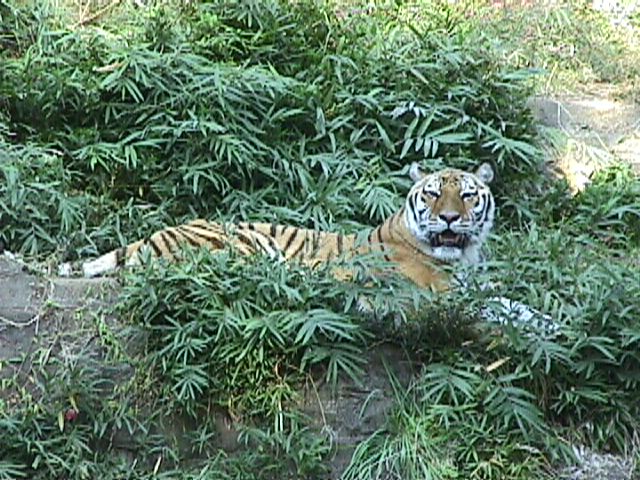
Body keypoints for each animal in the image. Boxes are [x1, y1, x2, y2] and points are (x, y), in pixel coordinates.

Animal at [81, 161, 496, 290]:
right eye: (433, 194)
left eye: (467, 196)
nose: (449, 217)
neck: (465, 257)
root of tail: (150, 237)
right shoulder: (440, 290)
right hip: (243, 245)